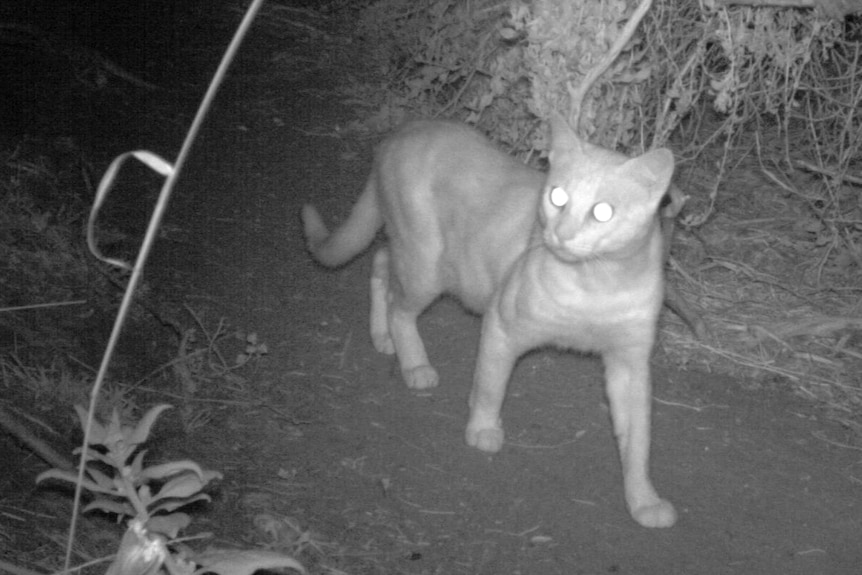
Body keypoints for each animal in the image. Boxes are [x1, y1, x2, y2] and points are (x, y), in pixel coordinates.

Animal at [304, 117, 680, 532]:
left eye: (602, 212)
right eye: (557, 197)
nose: (561, 235)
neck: (598, 284)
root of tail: (402, 133)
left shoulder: (630, 364)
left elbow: (639, 439)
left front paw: (644, 499)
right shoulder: (502, 324)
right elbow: (490, 385)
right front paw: (483, 428)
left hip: (410, 255)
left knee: (381, 265)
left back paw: (383, 336)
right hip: (426, 264)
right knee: (398, 305)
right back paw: (414, 362)